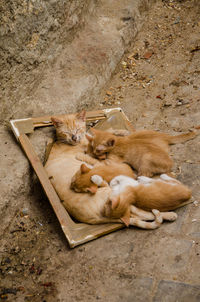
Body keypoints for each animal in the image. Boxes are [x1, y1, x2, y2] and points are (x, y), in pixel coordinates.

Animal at [44, 111, 177, 229]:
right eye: (66, 132)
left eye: (77, 129)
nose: (74, 137)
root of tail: (98, 218)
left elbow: (105, 133)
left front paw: (121, 132)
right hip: (118, 195)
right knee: (145, 213)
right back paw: (169, 214)